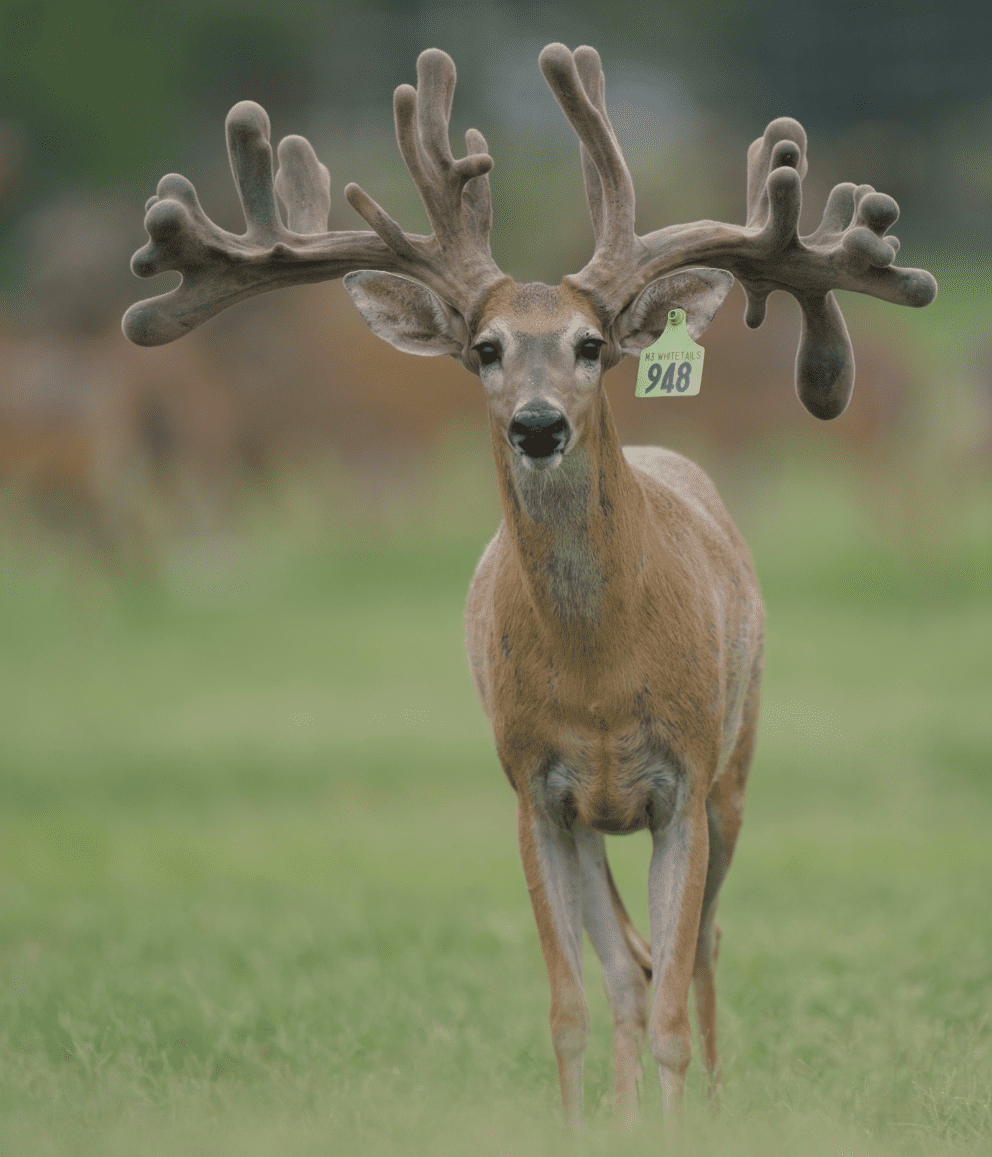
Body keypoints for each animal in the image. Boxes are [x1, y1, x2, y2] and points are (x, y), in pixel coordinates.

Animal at [122, 43, 937, 1132]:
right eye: (486, 348)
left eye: (591, 345)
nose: (539, 423)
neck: (599, 670)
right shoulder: (535, 790)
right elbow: (572, 1003)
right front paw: (590, 1126)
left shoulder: (682, 780)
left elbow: (673, 1000)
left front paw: (679, 1127)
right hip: (595, 818)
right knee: (627, 965)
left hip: (737, 762)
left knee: (700, 951)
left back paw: (719, 1099)